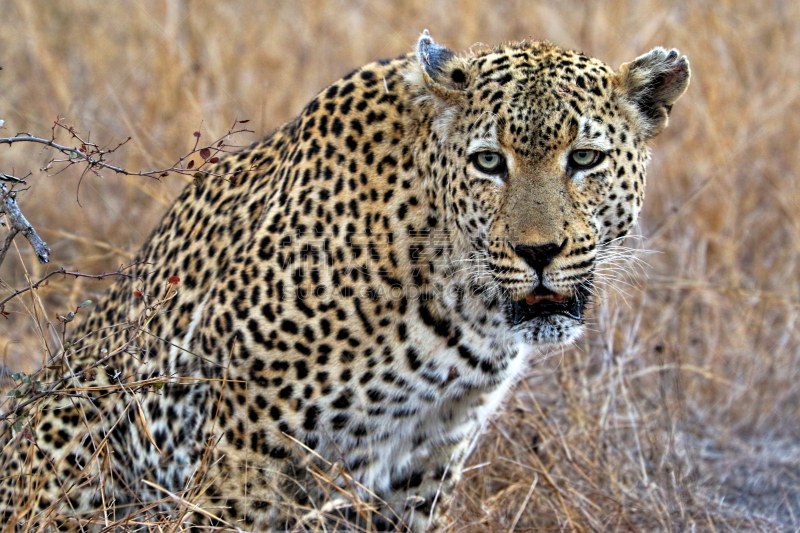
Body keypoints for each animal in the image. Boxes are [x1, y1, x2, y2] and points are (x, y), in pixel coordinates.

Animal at [0, 30, 688, 532]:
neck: (464, 308)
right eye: (490, 162)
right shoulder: (246, 444)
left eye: (585, 158)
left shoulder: (427, 459)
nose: (538, 251)